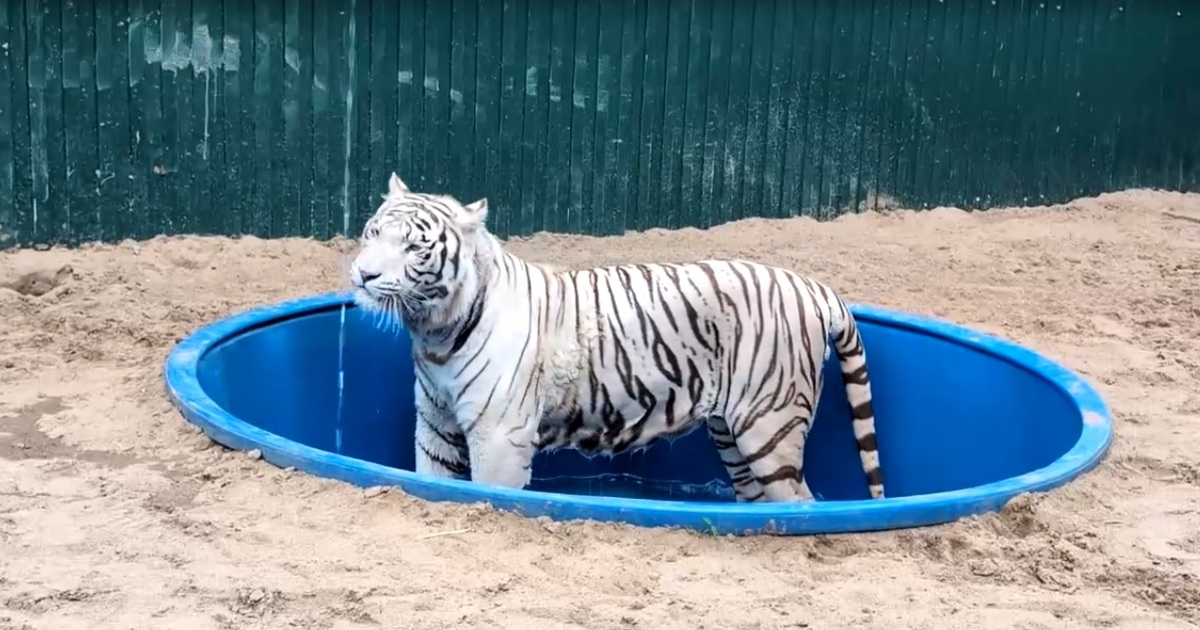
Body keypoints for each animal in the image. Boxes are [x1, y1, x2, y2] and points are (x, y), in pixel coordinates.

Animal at [349, 173, 885, 503]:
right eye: (372, 232)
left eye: (414, 248)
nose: (363, 274)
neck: (434, 331)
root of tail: (814, 287)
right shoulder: (435, 424)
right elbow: (432, 481)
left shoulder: (499, 436)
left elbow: (493, 494)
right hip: (730, 432)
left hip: (768, 427)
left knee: (801, 503)